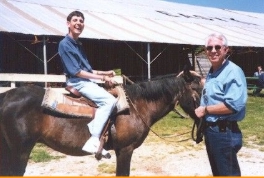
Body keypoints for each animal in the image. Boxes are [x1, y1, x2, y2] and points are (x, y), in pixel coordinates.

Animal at [0, 69, 203, 176]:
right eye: (198, 92)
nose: (203, 125)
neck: (136, 106)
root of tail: (6, 97)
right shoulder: (125, 150)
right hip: (19, 153)